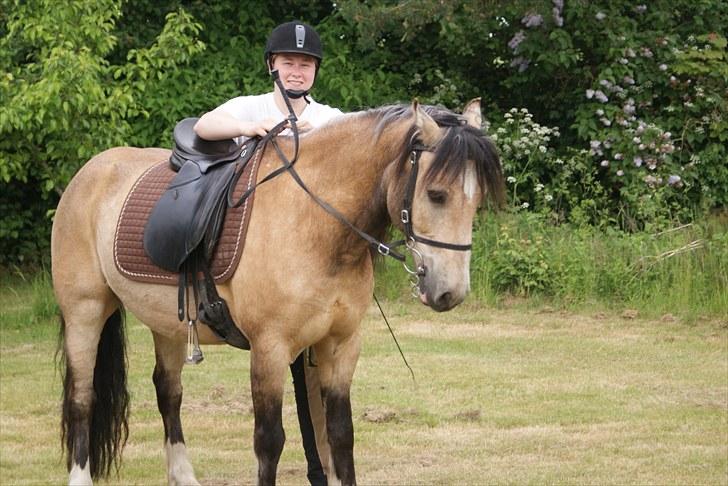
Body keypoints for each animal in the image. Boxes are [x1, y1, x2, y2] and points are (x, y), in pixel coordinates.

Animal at [51, 99, 504, 485]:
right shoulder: (269, 349)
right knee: (82, 398)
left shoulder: (341, 345)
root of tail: (89, 173)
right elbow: (269, 441)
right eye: (436, 194)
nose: (449, 292)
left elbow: (338, 435)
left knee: (168, 393)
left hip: (168, 324)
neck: (316, 222)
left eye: (476, 199)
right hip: (85, 313)